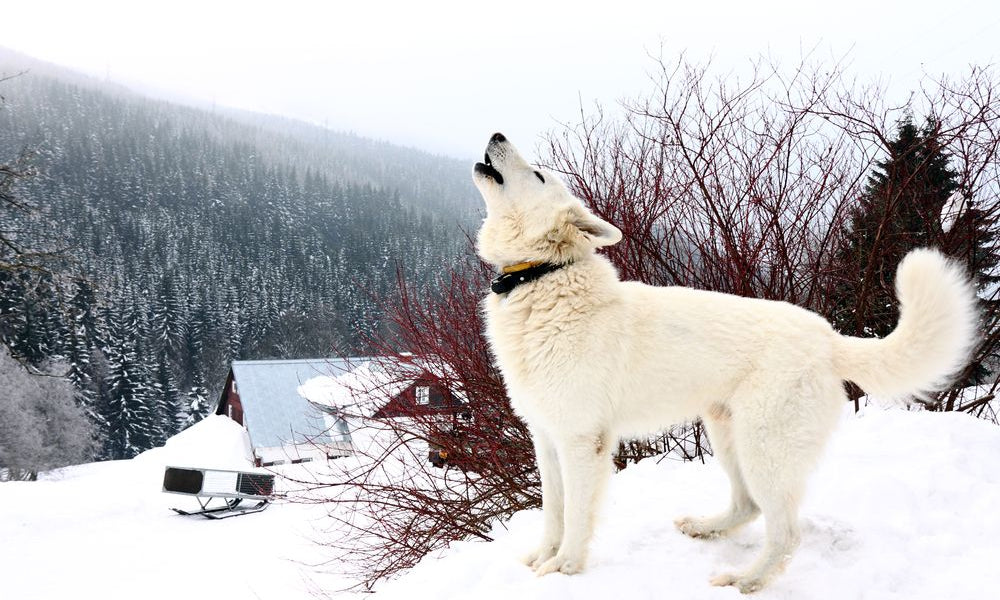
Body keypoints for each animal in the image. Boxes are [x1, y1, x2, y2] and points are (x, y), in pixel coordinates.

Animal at [472, 132, 980, 592]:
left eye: (538, 175)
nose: (496, 135)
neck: (542, 278)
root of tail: (828, 338)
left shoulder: (582, 442)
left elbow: (576, 515)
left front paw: (564, 568)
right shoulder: (547, 438)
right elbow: (553, 512)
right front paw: (542, 557)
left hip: (764, 448)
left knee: (785, 532)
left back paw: (746, 579)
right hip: (726, 432)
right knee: (747, 506)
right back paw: (707, 529)